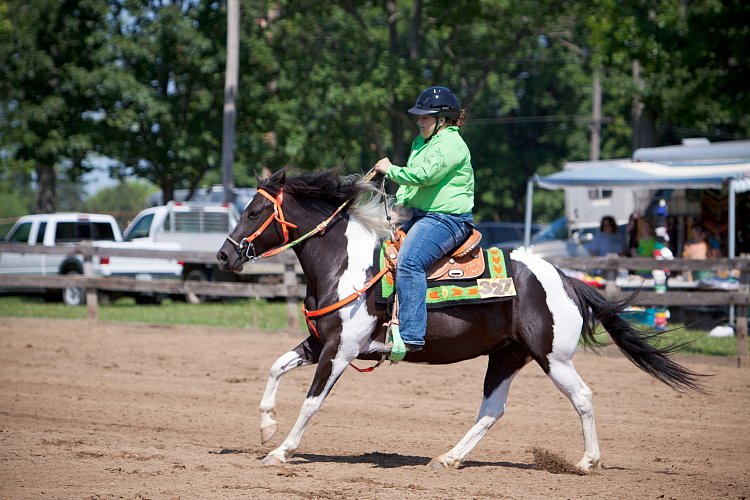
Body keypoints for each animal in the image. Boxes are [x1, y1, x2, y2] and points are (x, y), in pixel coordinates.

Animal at [216, 170, 704, 470]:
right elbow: (276, 367)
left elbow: (312, 402)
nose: (223, 256)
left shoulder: (340, 350)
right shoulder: (320, 343)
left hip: (554, 358)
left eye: (255, 211)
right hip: (508, 356)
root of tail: (565, 279)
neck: (347, 264)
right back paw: (448, 458)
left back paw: (587, 462)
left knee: (582, 397)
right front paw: (266, 426)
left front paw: (281, 451)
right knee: (491, 410)